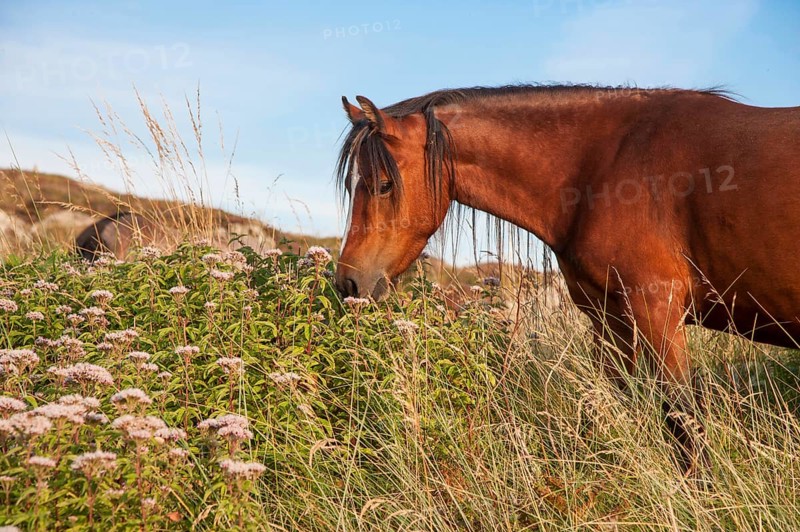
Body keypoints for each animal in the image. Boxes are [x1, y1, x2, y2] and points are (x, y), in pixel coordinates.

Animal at [333, 84, 800, 472]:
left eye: (383, 184)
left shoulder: (657, 312)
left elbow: (683, 418)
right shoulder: (610, 320)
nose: (348, 284)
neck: (605, 166)